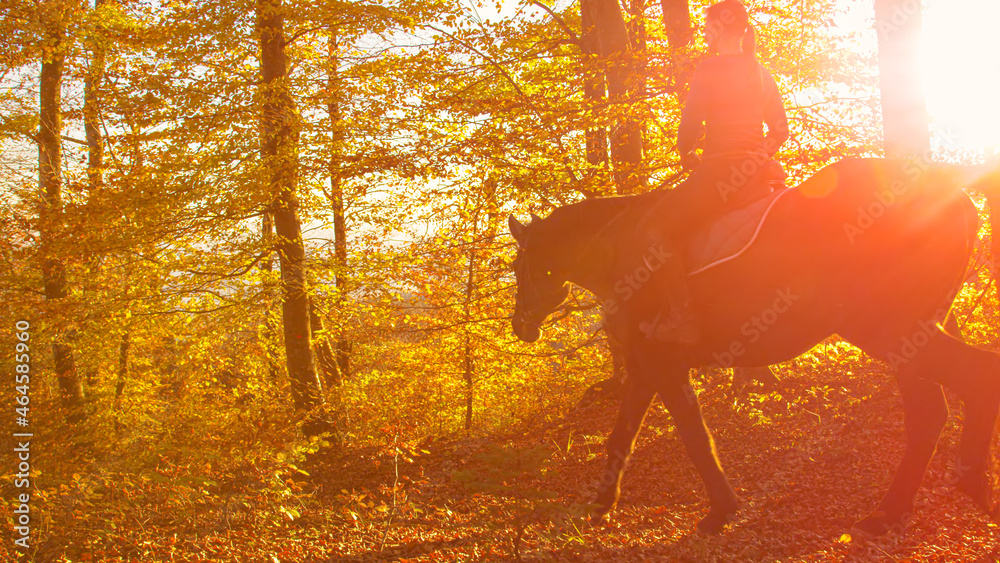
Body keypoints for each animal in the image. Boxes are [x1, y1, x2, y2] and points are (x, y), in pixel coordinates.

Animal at [508, 159, 1000, 536]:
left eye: (518, 264)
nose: (519, 326)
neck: (619, 251)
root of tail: (951, 194)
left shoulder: (664, 366)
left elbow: (695, 439)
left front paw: (721, 510)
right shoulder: (644, 368)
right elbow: (621, 437)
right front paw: (602, 502)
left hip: (890, 332)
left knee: (972, 382)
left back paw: (963, 488)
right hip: (916, 334)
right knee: (930, 415)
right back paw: (893, 511)